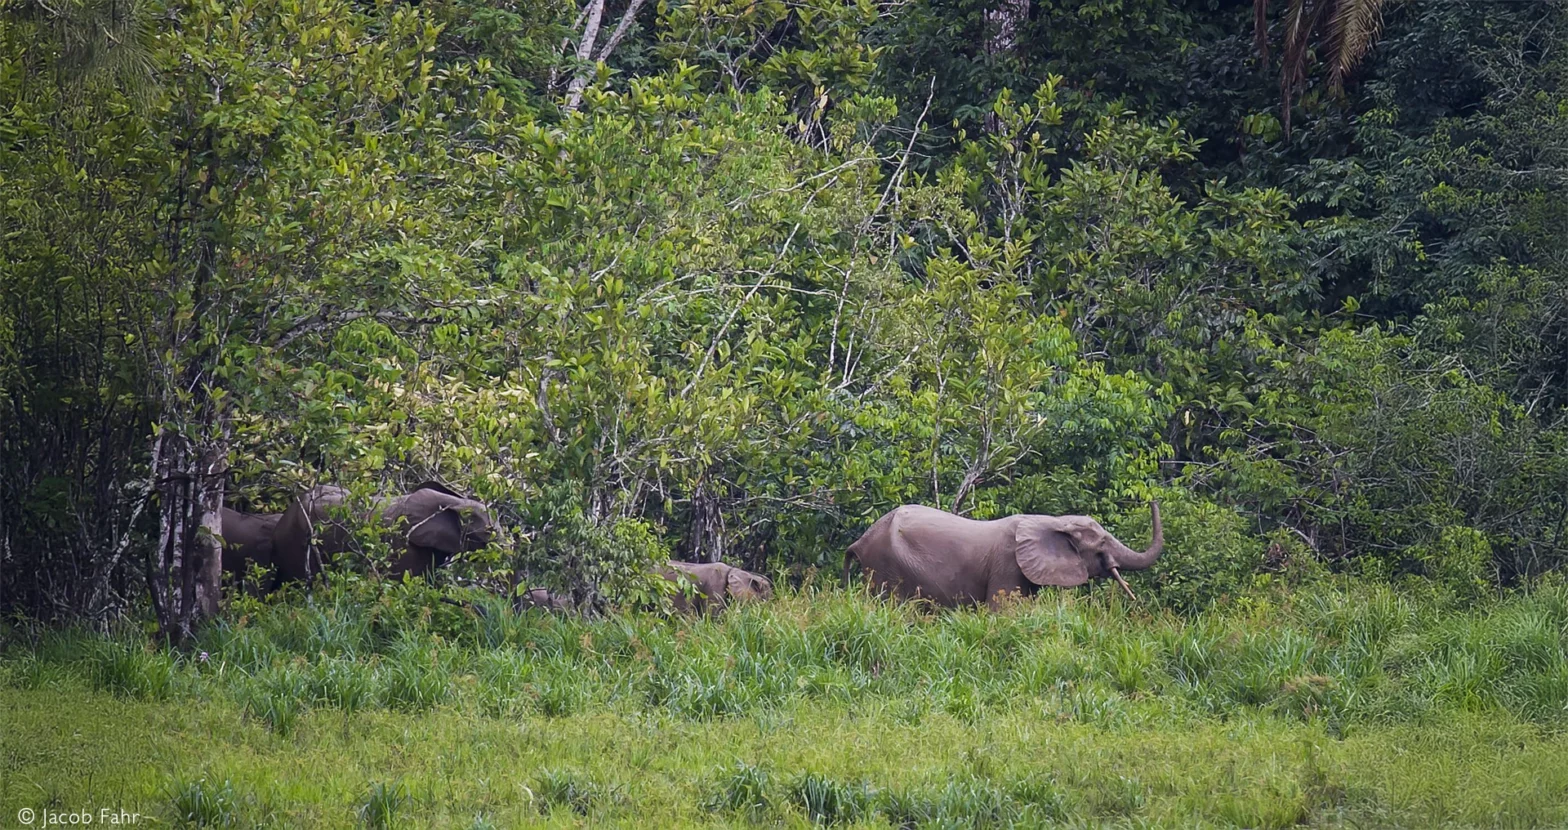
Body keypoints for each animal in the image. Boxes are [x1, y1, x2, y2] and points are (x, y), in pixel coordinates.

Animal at [843, 501, 1162, 609]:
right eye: (1101, 546)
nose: (1152, 499)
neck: (1052, 521)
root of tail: (860, 541)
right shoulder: (1008, 566)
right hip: (886, 567)